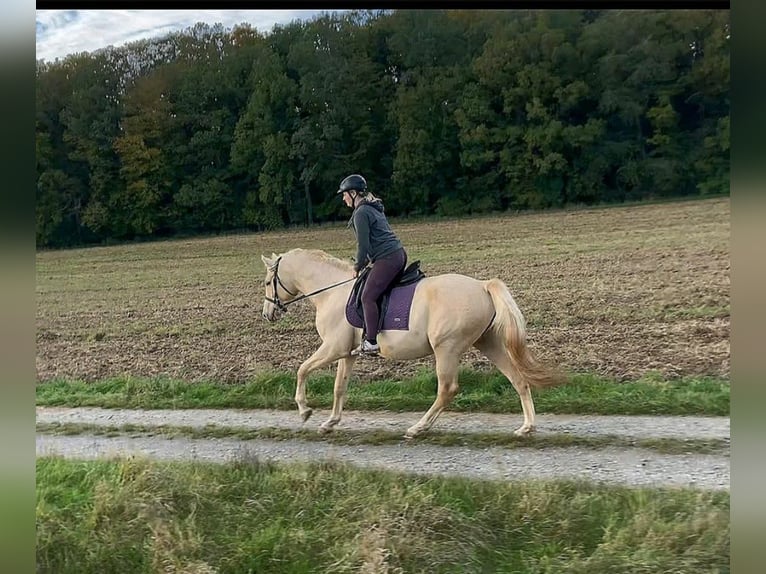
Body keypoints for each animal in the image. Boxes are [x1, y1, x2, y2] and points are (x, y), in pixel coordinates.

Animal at [260, 249, 560, 440]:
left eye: (266, 282)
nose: (267, 314)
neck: (331, 291)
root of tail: (483, 285)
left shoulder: (333, 348)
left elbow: (302, 369)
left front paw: (305, 410)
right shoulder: (347, 353)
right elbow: (339, 388)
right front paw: (329, 423)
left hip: (446, 348)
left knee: (447, 389)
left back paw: (418, 428)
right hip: (488, 344)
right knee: (517, 379)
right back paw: (527, 427)